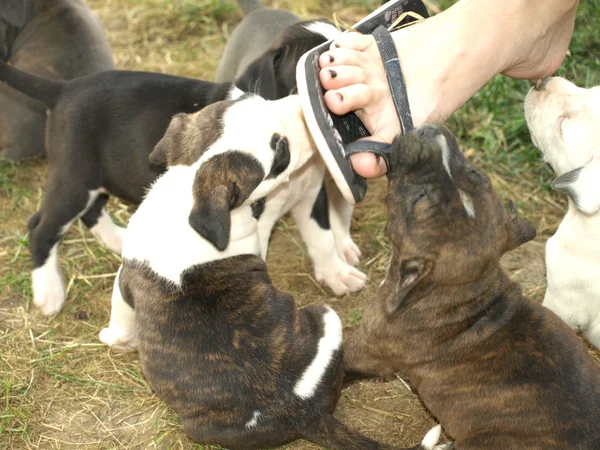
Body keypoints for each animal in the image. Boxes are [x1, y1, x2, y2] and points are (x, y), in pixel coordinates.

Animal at [96, 92, 438, 450]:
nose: (303, 106)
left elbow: (120, 315)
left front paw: (115, 339)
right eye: (281, 153)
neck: (188, 190)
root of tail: (302, 412)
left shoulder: (124, 282)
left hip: (324, 314)